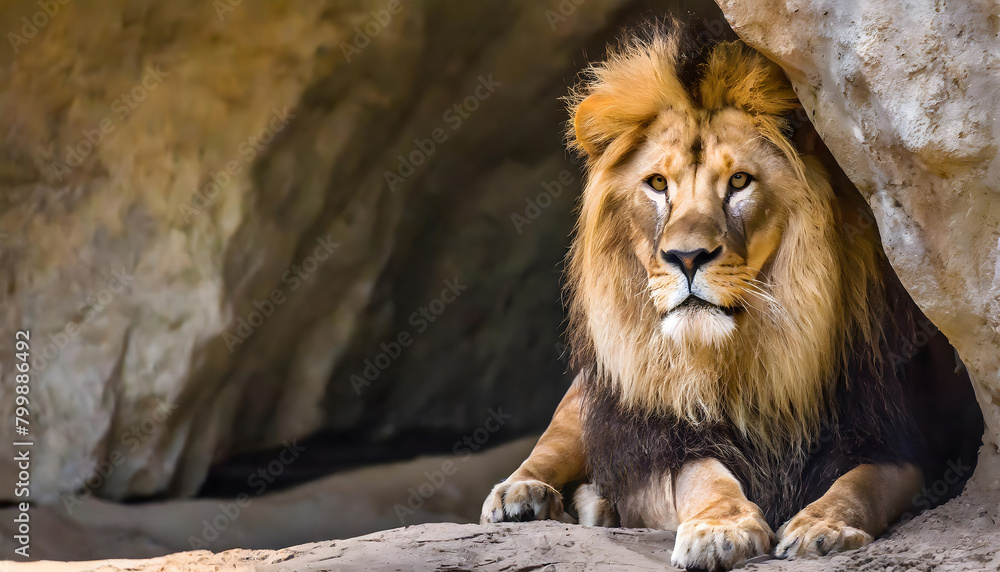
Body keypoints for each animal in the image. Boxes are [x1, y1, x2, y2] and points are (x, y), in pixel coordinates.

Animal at [481, 21, 981, 571]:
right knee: (551, 445)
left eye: (739, 181)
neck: (744, 353)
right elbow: (704, 479)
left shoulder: (897, 437)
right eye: (658, 183)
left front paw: (821, 526)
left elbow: (861, 484)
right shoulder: (671, 440)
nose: (687, 257)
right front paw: (721, 529)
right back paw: (523, 496)